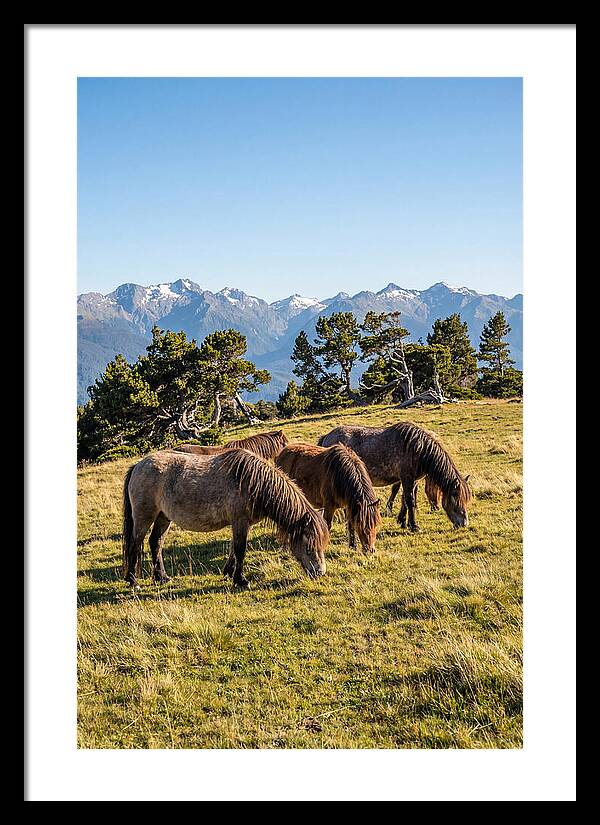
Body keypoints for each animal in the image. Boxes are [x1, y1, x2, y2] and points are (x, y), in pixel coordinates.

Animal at [122, 448, 329, 589]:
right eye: (309, 545)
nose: (320, 572)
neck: (252, 482)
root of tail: (138, 465)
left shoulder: (242, 523)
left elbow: (233, 549)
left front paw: (229, 572)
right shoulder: (240, 521)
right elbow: (240, 550)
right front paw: (241, 580)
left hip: (163, 517)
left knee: (155, 543)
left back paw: (161, 577)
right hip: (144, 516)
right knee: (135, 544)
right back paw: (133, 581)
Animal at [318, 421, 470, 531]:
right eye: (456, 497)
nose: (464, 523)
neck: (418, 448)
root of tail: (326, 437)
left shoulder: (412, 480)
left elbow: (405, 499)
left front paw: (403, 522)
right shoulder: (407, 478)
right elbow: (410, 500)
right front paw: (414, 526)